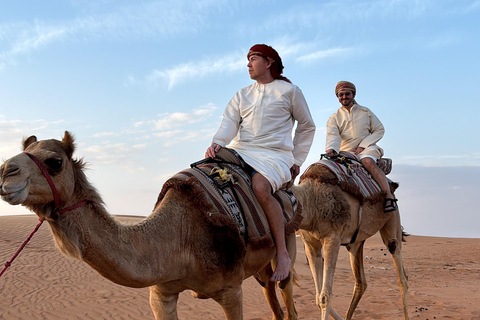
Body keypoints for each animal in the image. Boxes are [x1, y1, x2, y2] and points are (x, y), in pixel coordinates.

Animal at [0, 131, 298, 318]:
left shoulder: (231, 290)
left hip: (287, 240)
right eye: (23, 151)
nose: (5, 172)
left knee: (286, 295)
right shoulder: (161, 293)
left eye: (55, 161)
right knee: (271, 296)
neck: (181, 238)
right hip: (260, 266)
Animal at [292, 164, 408, 318]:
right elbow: (318, 298)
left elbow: (325, 297)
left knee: (401, 273)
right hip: (355, 242)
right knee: (361, 282)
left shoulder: (332, 239)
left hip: (393, 216)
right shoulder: (310, 245)